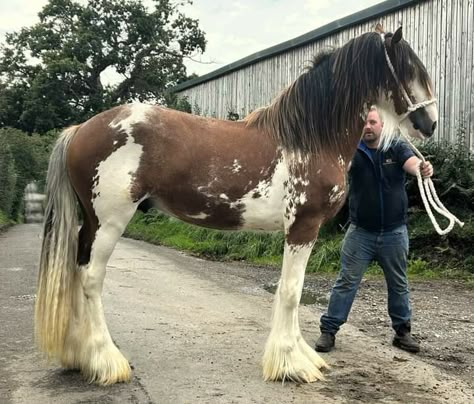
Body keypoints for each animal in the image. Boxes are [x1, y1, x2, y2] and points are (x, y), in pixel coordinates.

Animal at [36, 26, 436, 386]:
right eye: (409, 69)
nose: (429, 124)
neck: (308, 139)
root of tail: (80, 129)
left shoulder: (300, 231)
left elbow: (292, 291)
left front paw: (301, 356)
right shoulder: (303, 227)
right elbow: (290, 292)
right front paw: (291, 365)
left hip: (90, 224)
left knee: (76, 270)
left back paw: (79, 357)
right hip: (110, 222)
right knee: (90, 278)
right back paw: (106, 362)